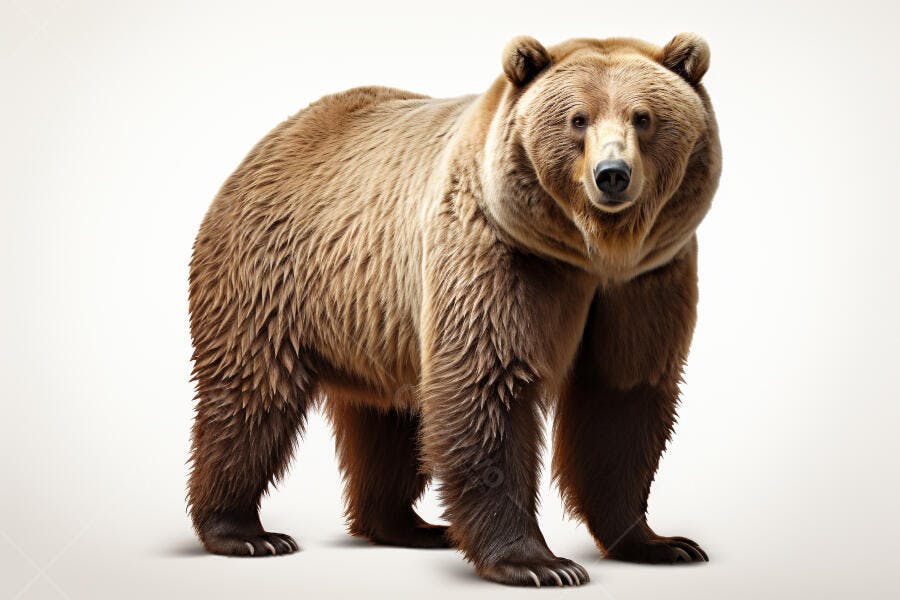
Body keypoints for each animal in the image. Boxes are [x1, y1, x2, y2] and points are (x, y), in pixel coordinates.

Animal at [187, 33, 721, 587]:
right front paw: (538, 562)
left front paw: (660, 543)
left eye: (643, 117)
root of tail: (274, 137)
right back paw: (245, 532)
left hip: (377, 320)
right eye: (578, 118)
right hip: (270, 277)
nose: (612, 175)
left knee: (392, 420)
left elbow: (624, 394)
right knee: (250, 395)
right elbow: (489, 383)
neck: (590, 253)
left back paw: (408, 525)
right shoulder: (498, 253)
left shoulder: (645, 281)